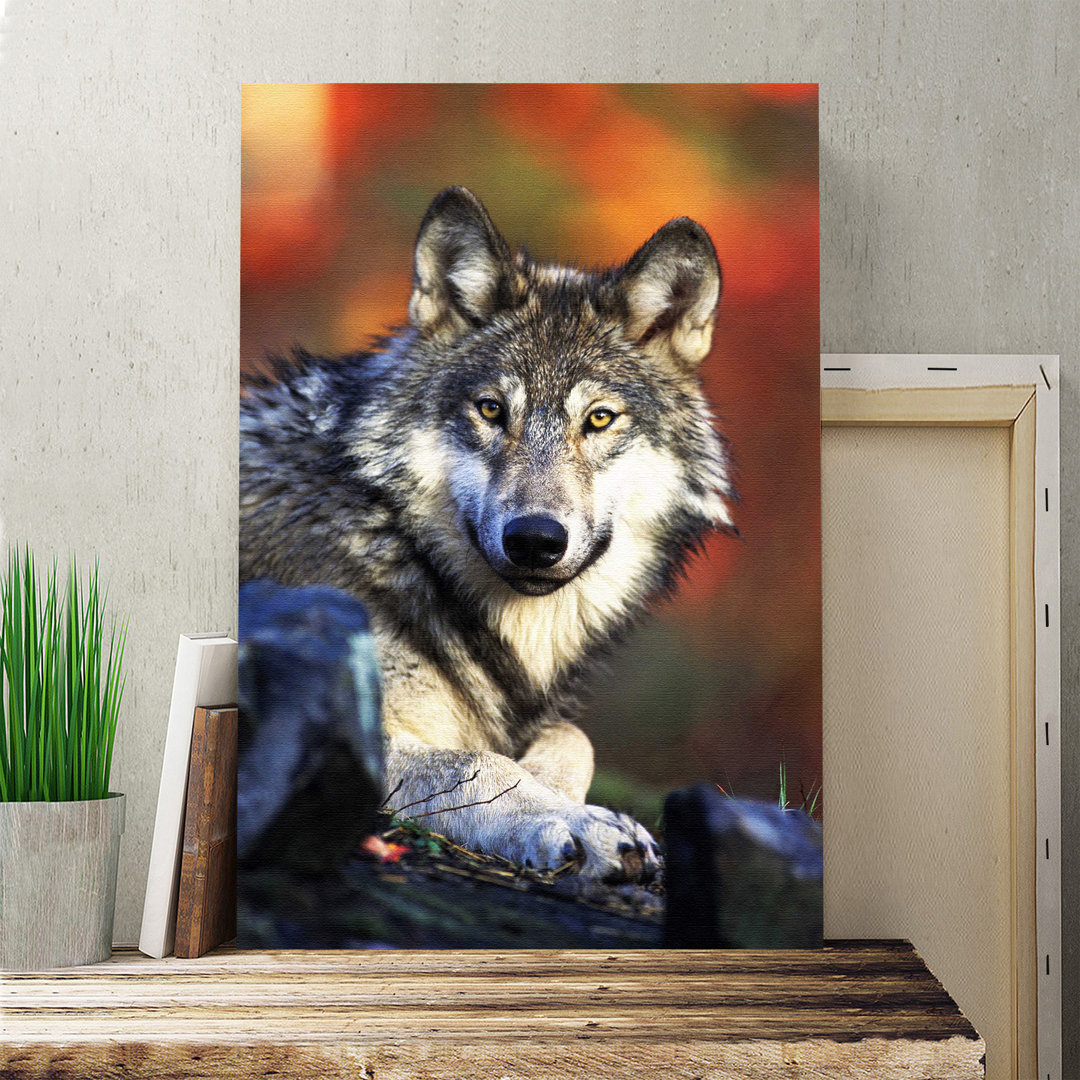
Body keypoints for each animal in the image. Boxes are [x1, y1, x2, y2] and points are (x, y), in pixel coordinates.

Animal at [240, 187, 734, 882]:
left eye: (599, 419)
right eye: (492, 410)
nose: (535, 539)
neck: (397, 544)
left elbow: (573, 737)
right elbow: (479, 763)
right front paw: (577, 823)